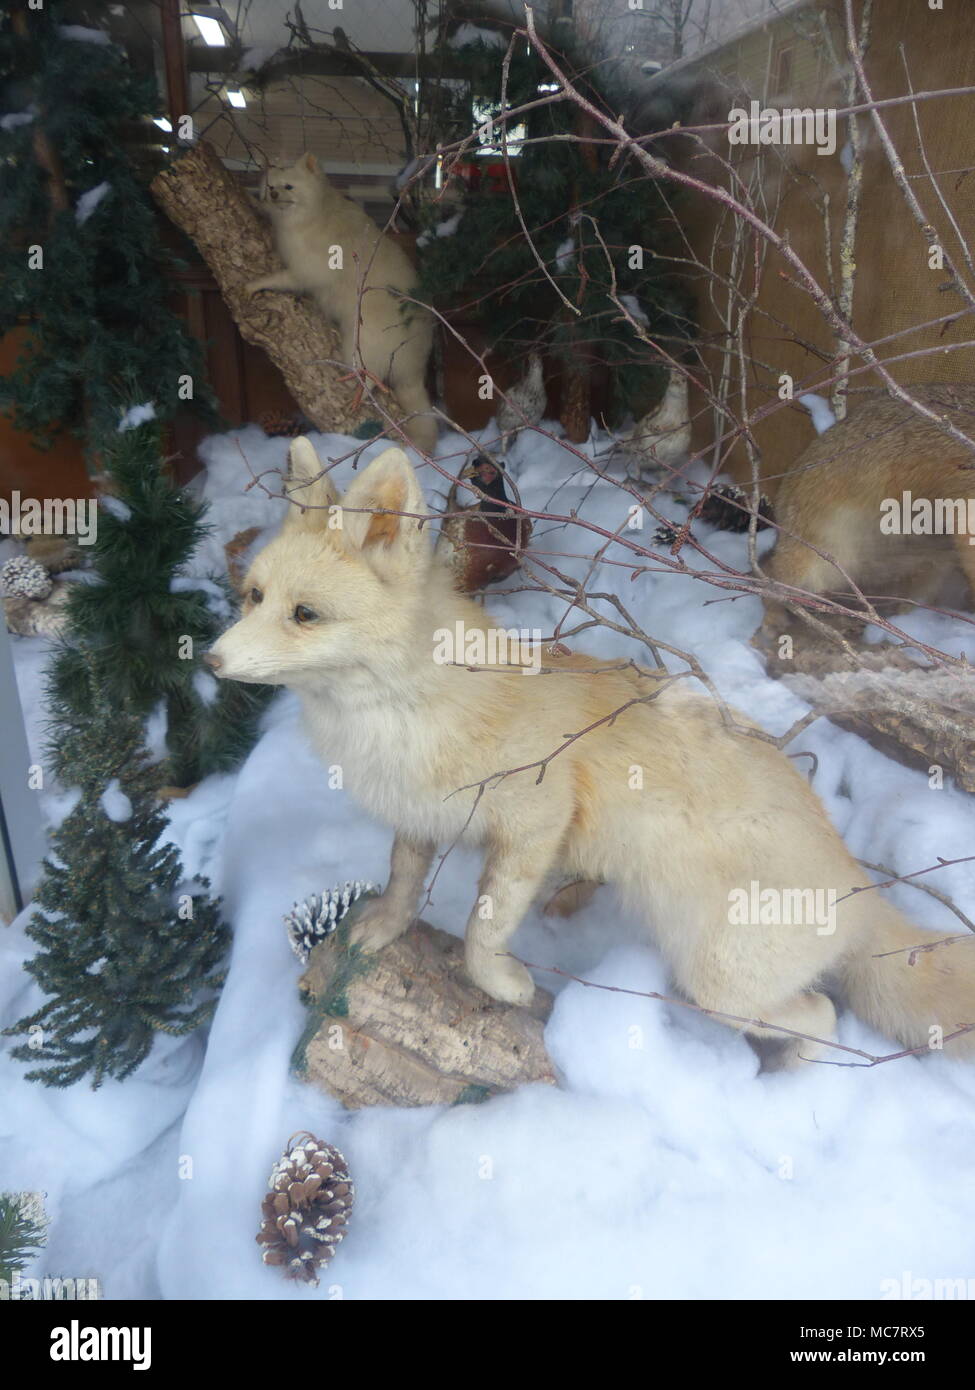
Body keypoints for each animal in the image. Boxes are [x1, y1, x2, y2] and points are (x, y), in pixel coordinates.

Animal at [205, 439, 973, 1067]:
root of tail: (858, 883)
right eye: (253, 597)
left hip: (718, 982)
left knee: (820, 1016)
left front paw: (503, 984)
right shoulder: (419, 817)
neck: (406, 714)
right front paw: (383, 931)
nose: (210, 661)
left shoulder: (534, 820)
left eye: (305, 615)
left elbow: (482, 931)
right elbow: (400, 882)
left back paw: (792, 1074)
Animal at [248, 154, 436, 453]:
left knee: (371, 374)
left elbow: (287, 278)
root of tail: (415, 365)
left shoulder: (308, 267)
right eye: (269, 186)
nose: (273, 195)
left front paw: (256, 283)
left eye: (288, 186)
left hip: (362, 343)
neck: (315, 213)